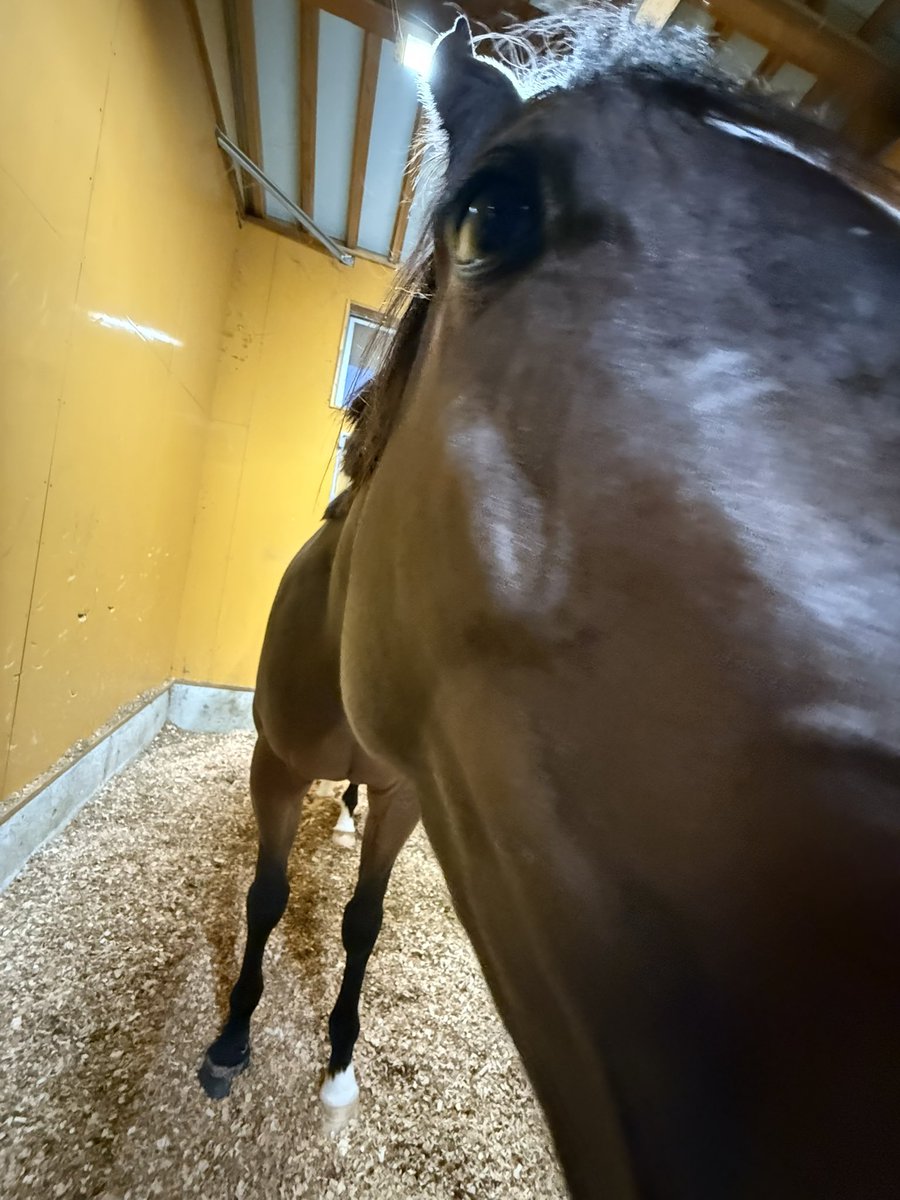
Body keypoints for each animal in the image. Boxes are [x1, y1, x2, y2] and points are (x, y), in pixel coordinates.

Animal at [202, 7, 900, 1195]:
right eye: (492, 213)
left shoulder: (408, 793)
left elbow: (364, 919)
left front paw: (339, 1057)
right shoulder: (275, 766)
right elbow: (265, 898)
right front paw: (233, 1038)